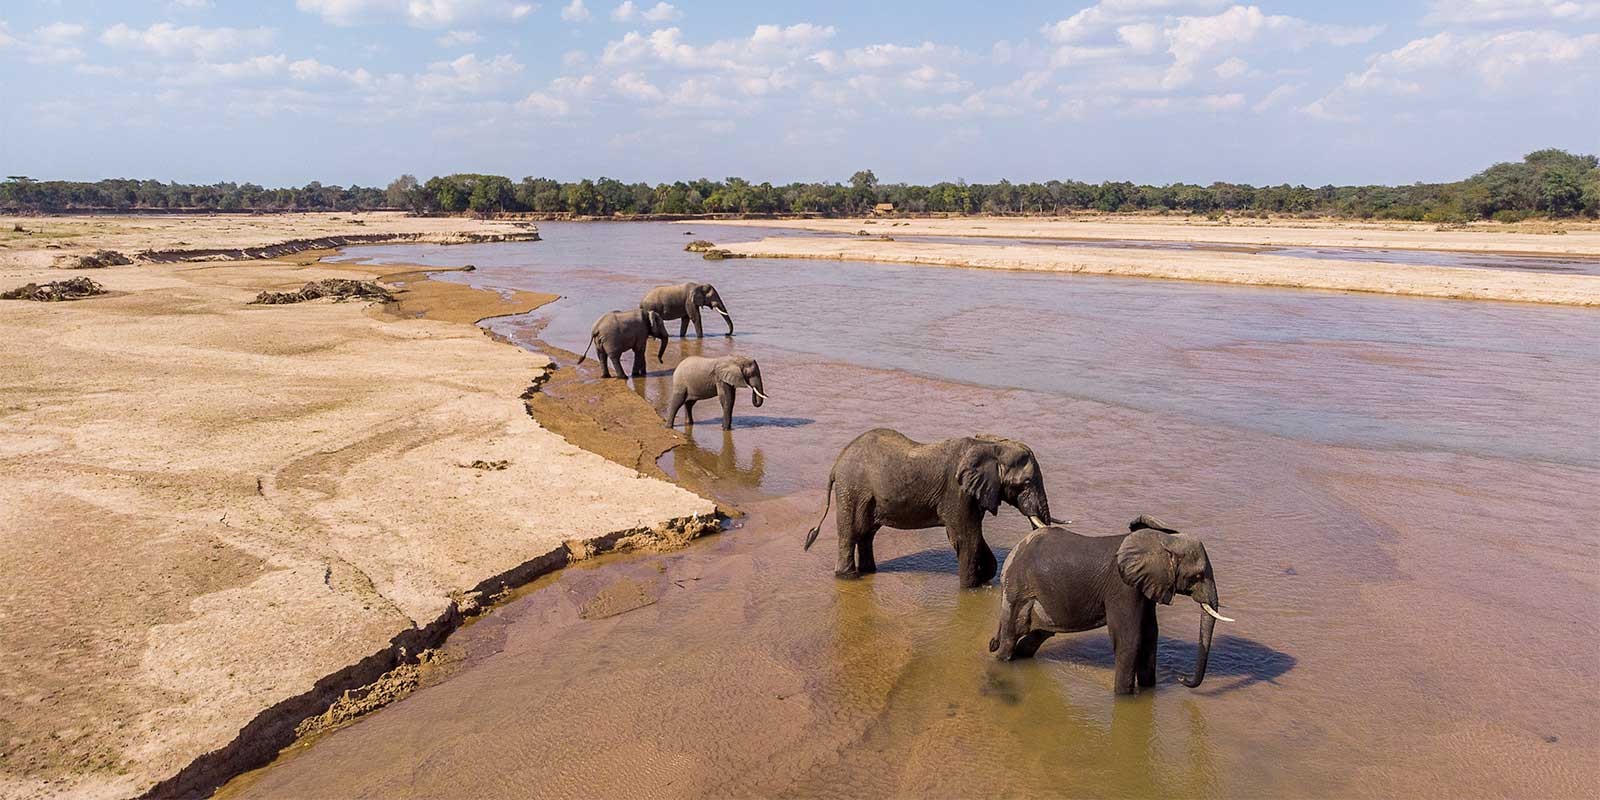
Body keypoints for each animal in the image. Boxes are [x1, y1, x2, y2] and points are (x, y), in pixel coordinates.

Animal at [803, 428, 1063, 589]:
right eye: (1026, 483)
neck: (990, 446)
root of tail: (837, 462)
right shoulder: (957, 491)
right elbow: (966, 537)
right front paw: (971, 589)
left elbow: (974, 535)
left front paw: (986, 576)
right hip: (852, 489)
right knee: (851, 533)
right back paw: (849, 577)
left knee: (866, 533)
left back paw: (868, 571)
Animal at [988, 515, 1233, 695]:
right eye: (1198, 576)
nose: (1181, 678)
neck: (1160, 541)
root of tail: (1014, 550)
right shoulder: (1123, 588)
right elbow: (1130, 638)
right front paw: (1125, 697)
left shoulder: (1143, 587)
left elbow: (1149, 634)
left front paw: (1148, 691)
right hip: (1016, 591)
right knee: (1010, 639)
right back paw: (1001, 660)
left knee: (1036, 636)